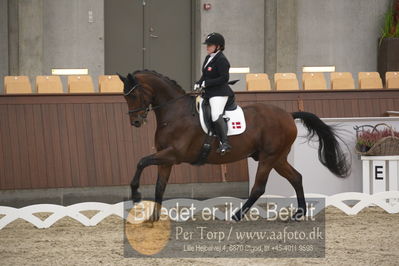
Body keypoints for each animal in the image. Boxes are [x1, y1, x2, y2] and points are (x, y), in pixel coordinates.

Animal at [118, 69, 350, 221]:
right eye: (124, 96)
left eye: (134, 94)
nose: (135, 122)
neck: (175, 113)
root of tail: (288, 115)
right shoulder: (165, 158)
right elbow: (159, 186)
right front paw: (154, 218)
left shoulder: (173, 154)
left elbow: (141, 162)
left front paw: (136, 194)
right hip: (277, 158)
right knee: (296, 177)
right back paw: (298, 213)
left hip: (269, 158)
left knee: (259, 187)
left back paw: (237, 215)